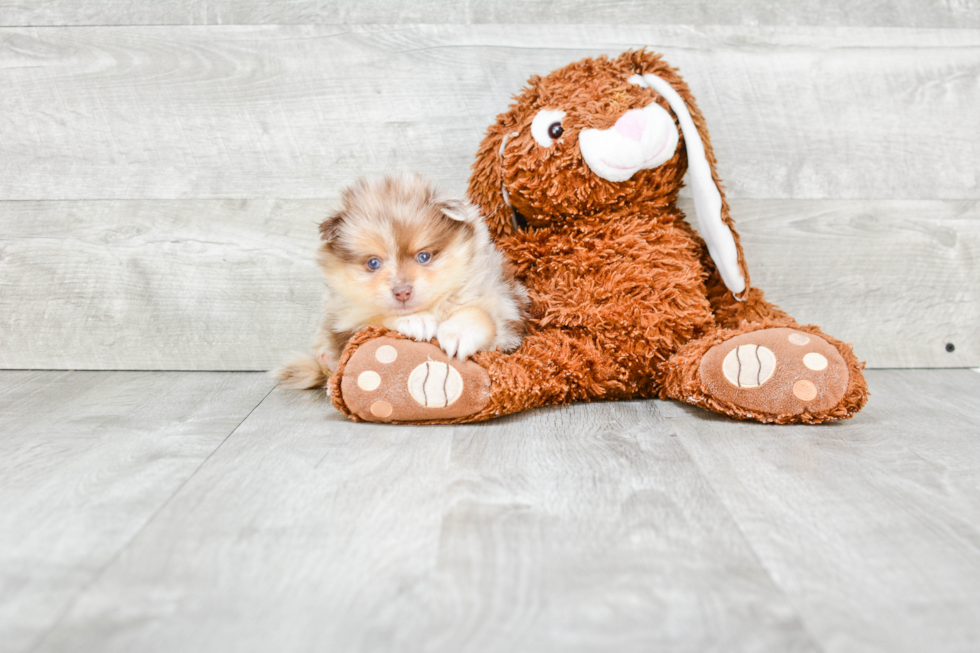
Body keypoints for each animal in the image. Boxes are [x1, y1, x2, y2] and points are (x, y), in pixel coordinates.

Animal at [272, 171, 528, 390]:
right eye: (373, 263)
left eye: (423, 256)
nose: (402, 291)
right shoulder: (344, 322)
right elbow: (376, 317)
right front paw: (414, 321)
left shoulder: (504, 308)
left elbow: (479, 314)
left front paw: (459, 334)